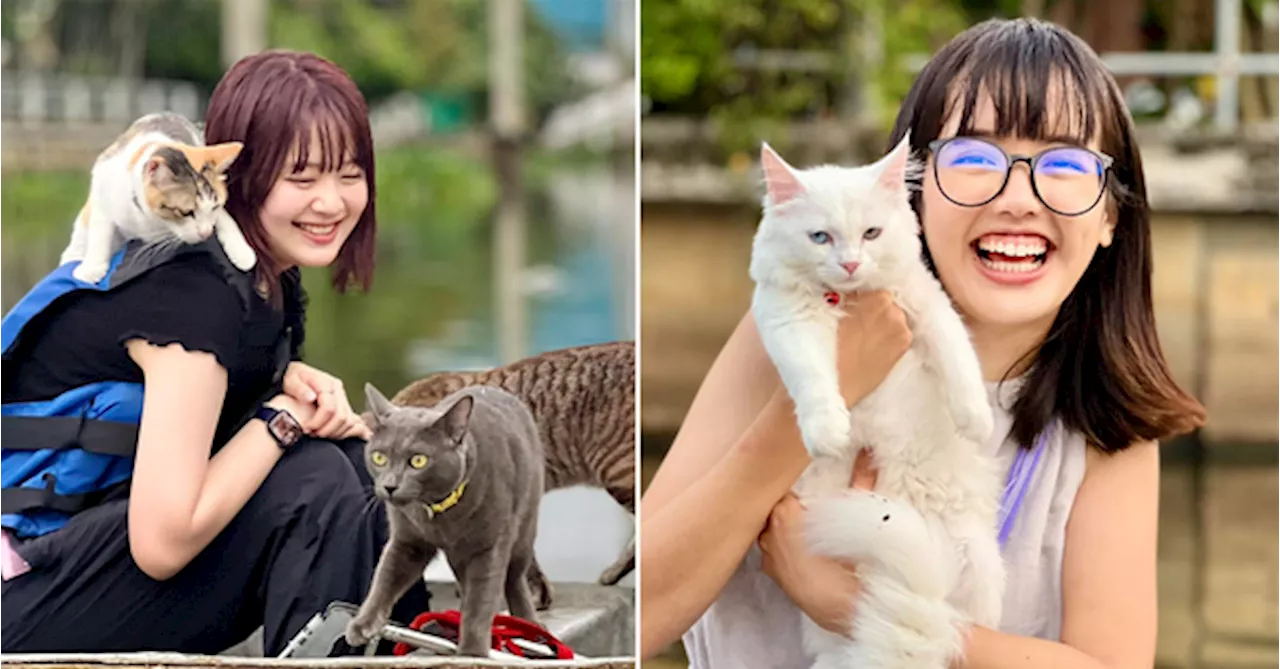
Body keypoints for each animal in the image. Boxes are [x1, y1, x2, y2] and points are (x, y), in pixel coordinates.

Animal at [345, 383, 545, 654]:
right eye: (379, 457)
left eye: (418, 460)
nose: (389, 486)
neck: (437, 512)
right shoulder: (407, 541)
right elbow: (384, 577)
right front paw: (362, 624)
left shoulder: (489, 547)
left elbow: (481, 600)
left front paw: (472, 652)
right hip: (459, 556)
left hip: (524, 528)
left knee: (513, 580)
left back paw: (528, 626)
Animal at [747, 137, 1008, 669]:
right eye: (820, 237)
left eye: (871, 234)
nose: (850, 263)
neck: (848, 301)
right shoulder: (788, 324)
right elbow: (814, 379)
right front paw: (828, 432)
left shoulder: (926, 304)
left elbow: (957, 358)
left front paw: (974, 419)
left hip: (976, 558)